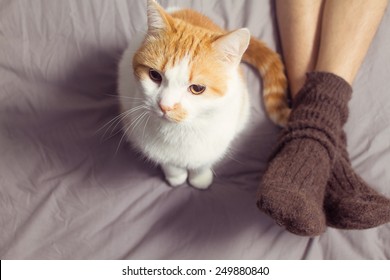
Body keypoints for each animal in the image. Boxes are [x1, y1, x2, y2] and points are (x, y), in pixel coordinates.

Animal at [116, 0, 290, 189]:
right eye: (154, 75)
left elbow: (203, 162)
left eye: (197, 88)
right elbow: (167, 162)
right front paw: (176, 176)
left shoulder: (216, 140)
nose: (165, 106)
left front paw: (199, 179)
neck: (180, 131)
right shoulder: (143, 135)